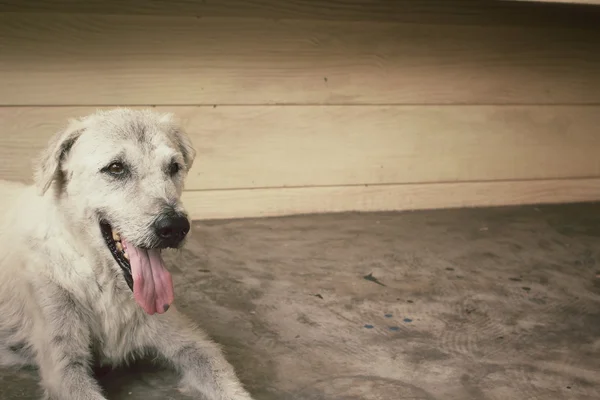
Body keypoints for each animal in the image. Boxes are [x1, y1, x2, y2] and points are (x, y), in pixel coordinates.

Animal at [0, 108, 255, 398]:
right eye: (115, 168)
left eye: (174, 167)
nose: (175, 227)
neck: (103, 283)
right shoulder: (64, 366)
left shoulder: (191, 339)